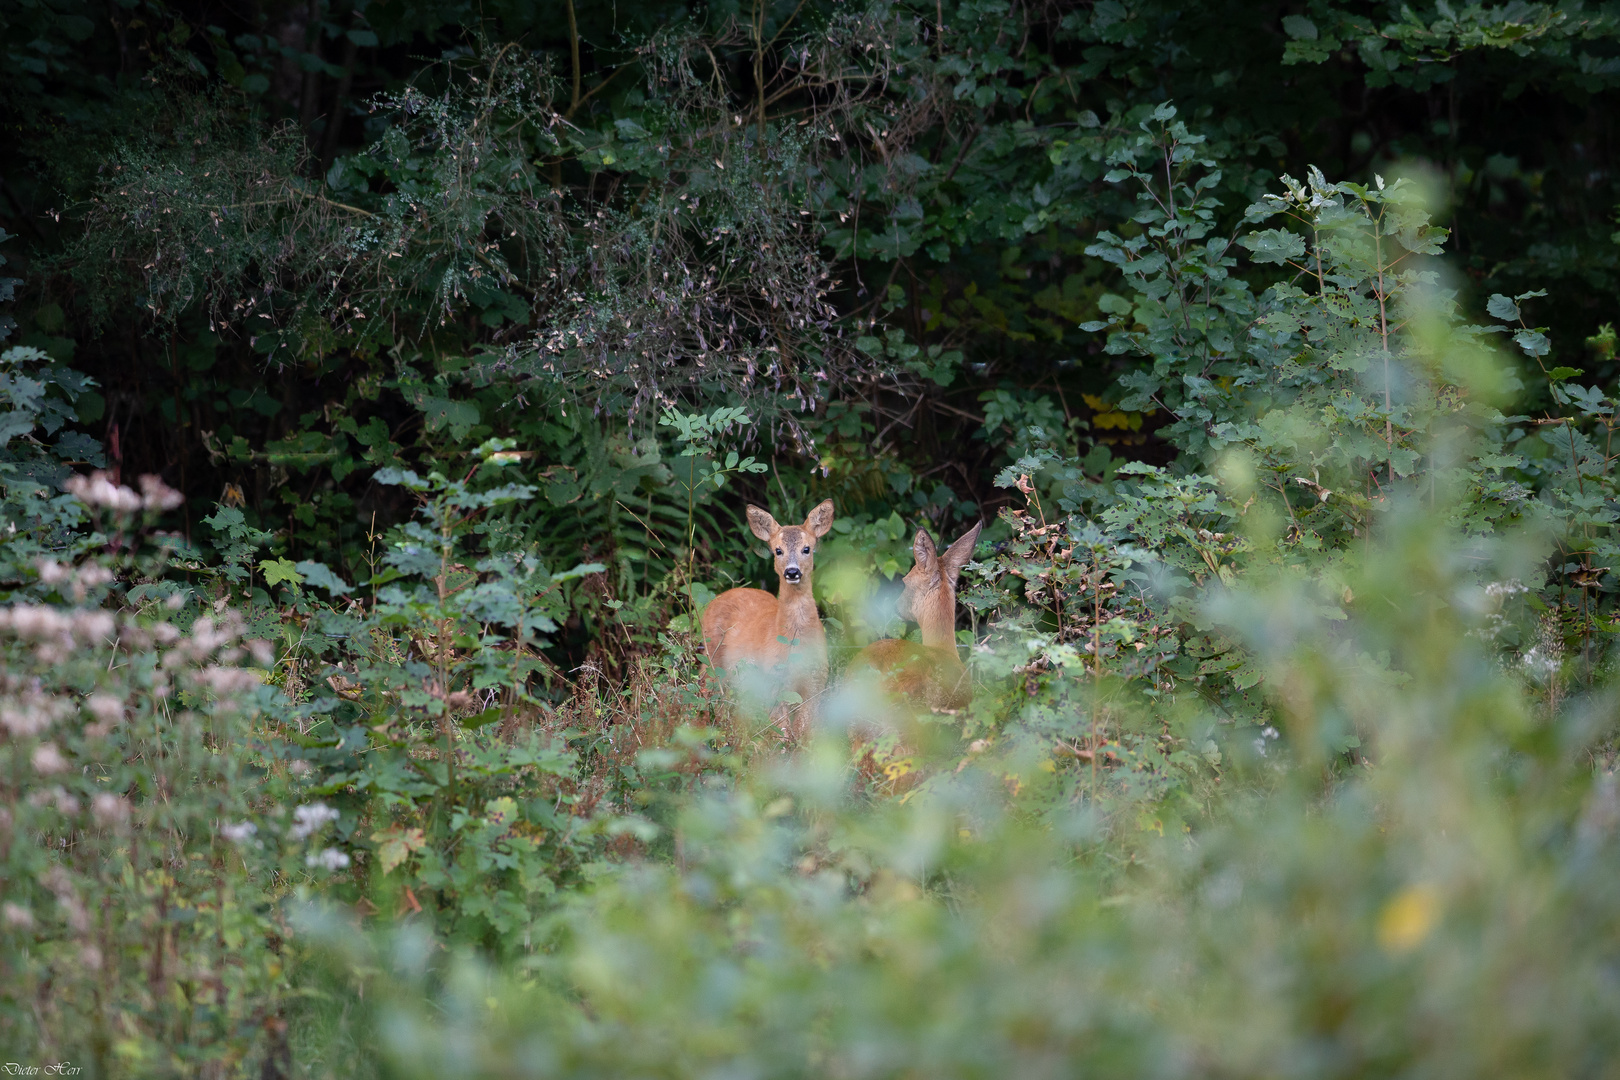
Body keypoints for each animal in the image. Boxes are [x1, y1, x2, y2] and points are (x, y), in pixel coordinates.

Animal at [699, 501, 835, 748]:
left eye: (807, 549)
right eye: (778, 550)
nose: (792, 572)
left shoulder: (816, 681)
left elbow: (804, 730)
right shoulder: (772, 680)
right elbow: (782, 733)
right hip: (713, 658)